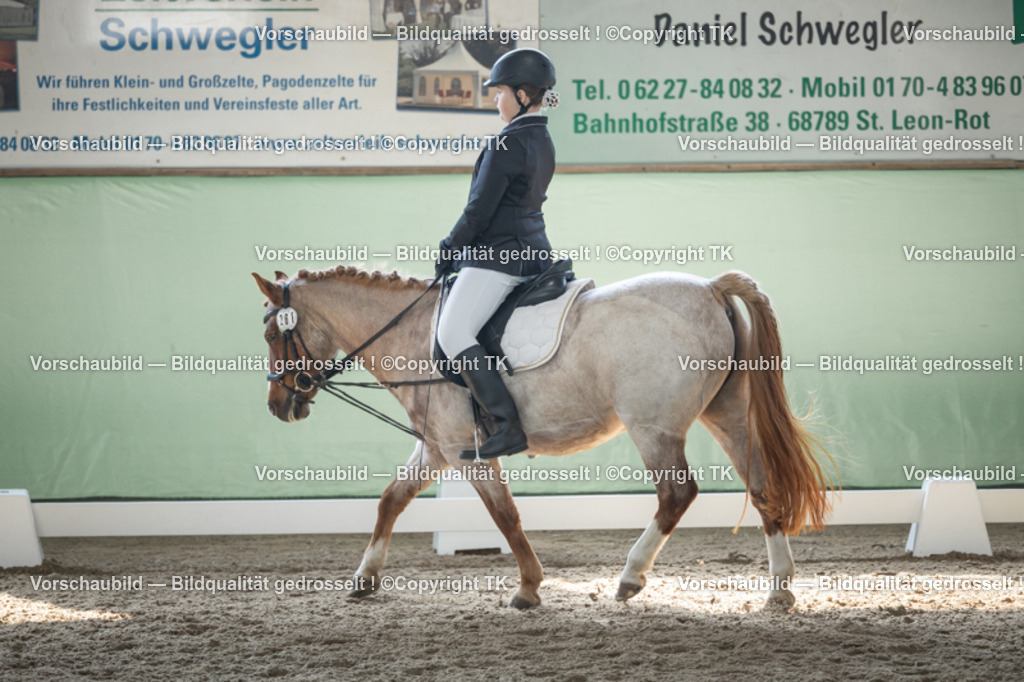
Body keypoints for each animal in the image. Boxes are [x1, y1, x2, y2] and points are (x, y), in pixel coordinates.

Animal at [253, 265, 833, 609]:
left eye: (271, 334)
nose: (279, 406)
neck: (414, 336)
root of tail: (711, 289)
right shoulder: (437, 447)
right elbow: (391, 500)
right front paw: (365, 578)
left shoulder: (466, 452)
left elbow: (505, 515)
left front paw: (529, 587)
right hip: (727, 414)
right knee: (761, 486)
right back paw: (780, 590)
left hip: (654, 427)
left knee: (677, 495)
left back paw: (630, 577)